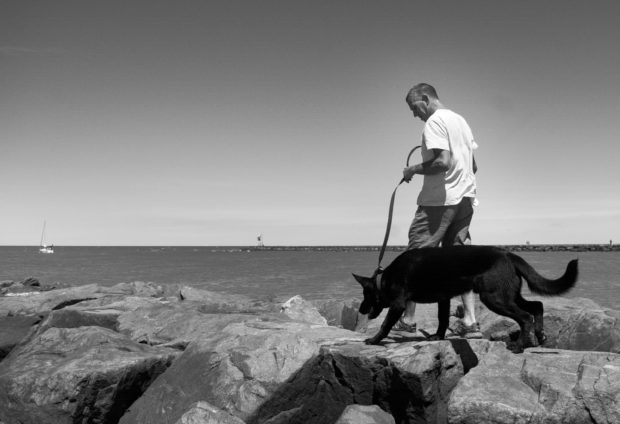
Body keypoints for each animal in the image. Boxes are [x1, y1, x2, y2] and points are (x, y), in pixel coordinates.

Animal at [356, 245, 580, 352]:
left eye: (366, 295)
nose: (360, 310)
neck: (384, 279)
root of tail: (508, 254)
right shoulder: (444, 298)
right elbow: (442, 320)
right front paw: (437, 337)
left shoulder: (398, 304)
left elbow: (385, 324)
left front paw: (374, 340)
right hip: (509, 295)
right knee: (537, 306)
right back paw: (540, 335)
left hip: (494, 298)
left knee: (525, 317)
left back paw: (518, 347)